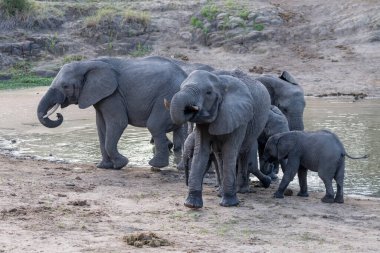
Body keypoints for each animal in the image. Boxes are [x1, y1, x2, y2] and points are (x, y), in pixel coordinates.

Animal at [36, 56, 188, 169]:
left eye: (65, 86)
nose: (58, 115)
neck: (87, 63)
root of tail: (184, 75)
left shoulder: (113, 94)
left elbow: (118, 122)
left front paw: (121, 163)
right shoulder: (100, 96)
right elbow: (101, 126)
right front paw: (104, 166)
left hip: (167, 96)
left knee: (154, 125)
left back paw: (155, 165)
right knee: (180, 129)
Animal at [169, 68, 270, 208]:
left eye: (208, 92)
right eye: (180, 87)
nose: (189, 108)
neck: (220, 81)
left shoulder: (240, 116)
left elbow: (230, 151)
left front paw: (229, 203)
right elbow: (201, 151)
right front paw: (191, 204)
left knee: (244, 151)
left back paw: (242, 190)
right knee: (219, 154)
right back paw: (222, 192)